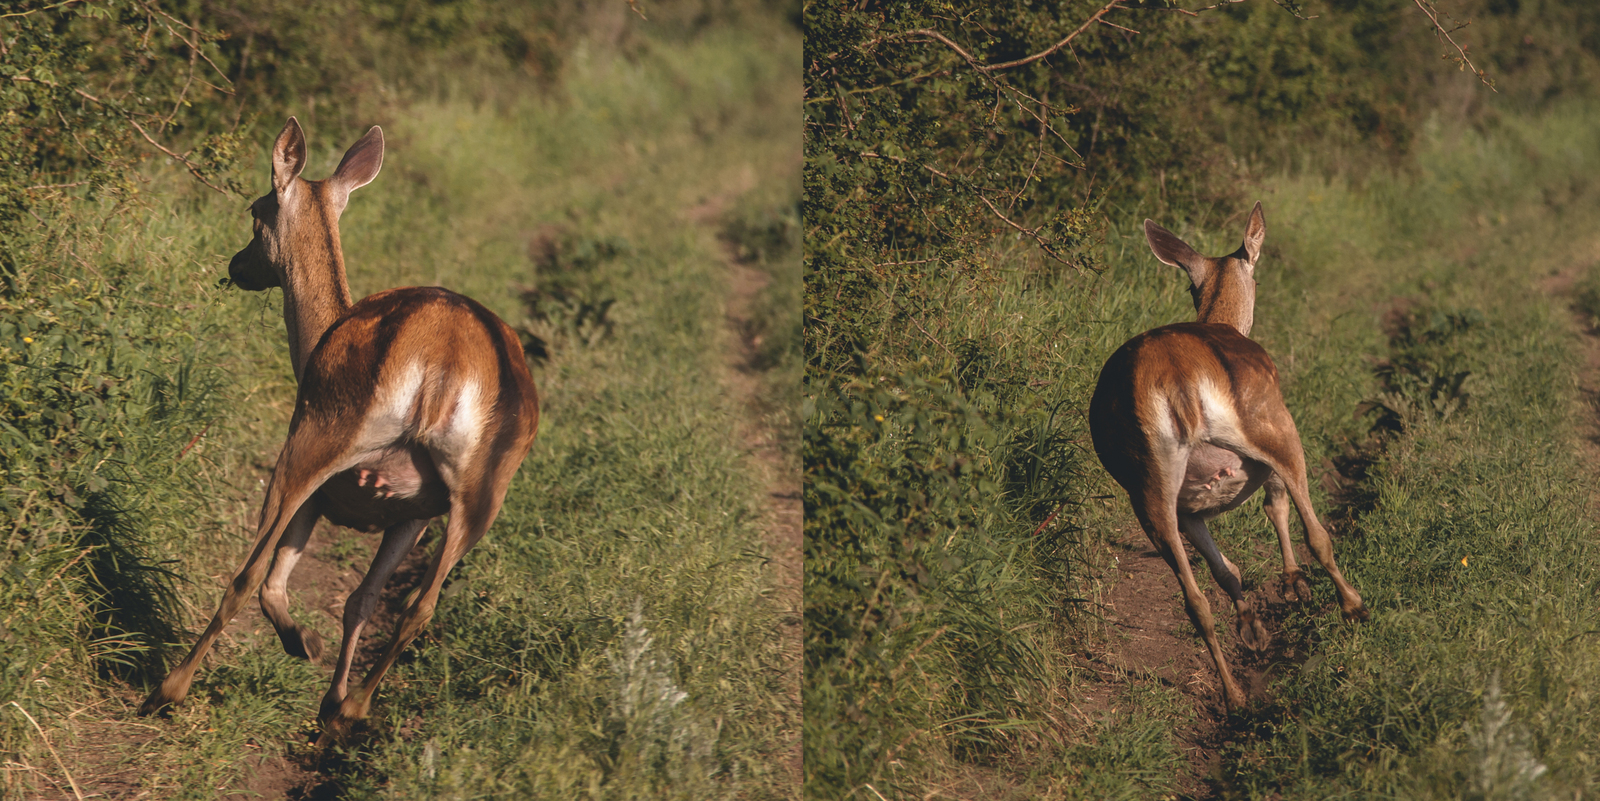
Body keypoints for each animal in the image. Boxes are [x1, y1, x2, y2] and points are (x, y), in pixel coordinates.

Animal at [139, 115, 537, 738]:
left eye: (256, 209)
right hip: (477, 493)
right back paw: (353, 708)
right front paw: (328, 691)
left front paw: (304, 644)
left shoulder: (322, 490)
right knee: (419, 605)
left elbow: (273, 583)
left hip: (320, 434)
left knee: (247, 574)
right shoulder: (408, 511)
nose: (234, 265)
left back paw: (168, 689)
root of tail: (447, 360)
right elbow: (361, 599)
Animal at [1094, 203, 1369, 709]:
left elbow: (1225, 571)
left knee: (1194, 598)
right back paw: (1353, 606)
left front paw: (1252, 628)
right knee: (1315, 529)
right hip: (1272, 424)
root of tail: (1177, 382)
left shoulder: (1190, 508)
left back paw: (1235, 695)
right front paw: (1294, 585)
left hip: (1148, 489)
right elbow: (1278, 506)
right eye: (1256, 277)